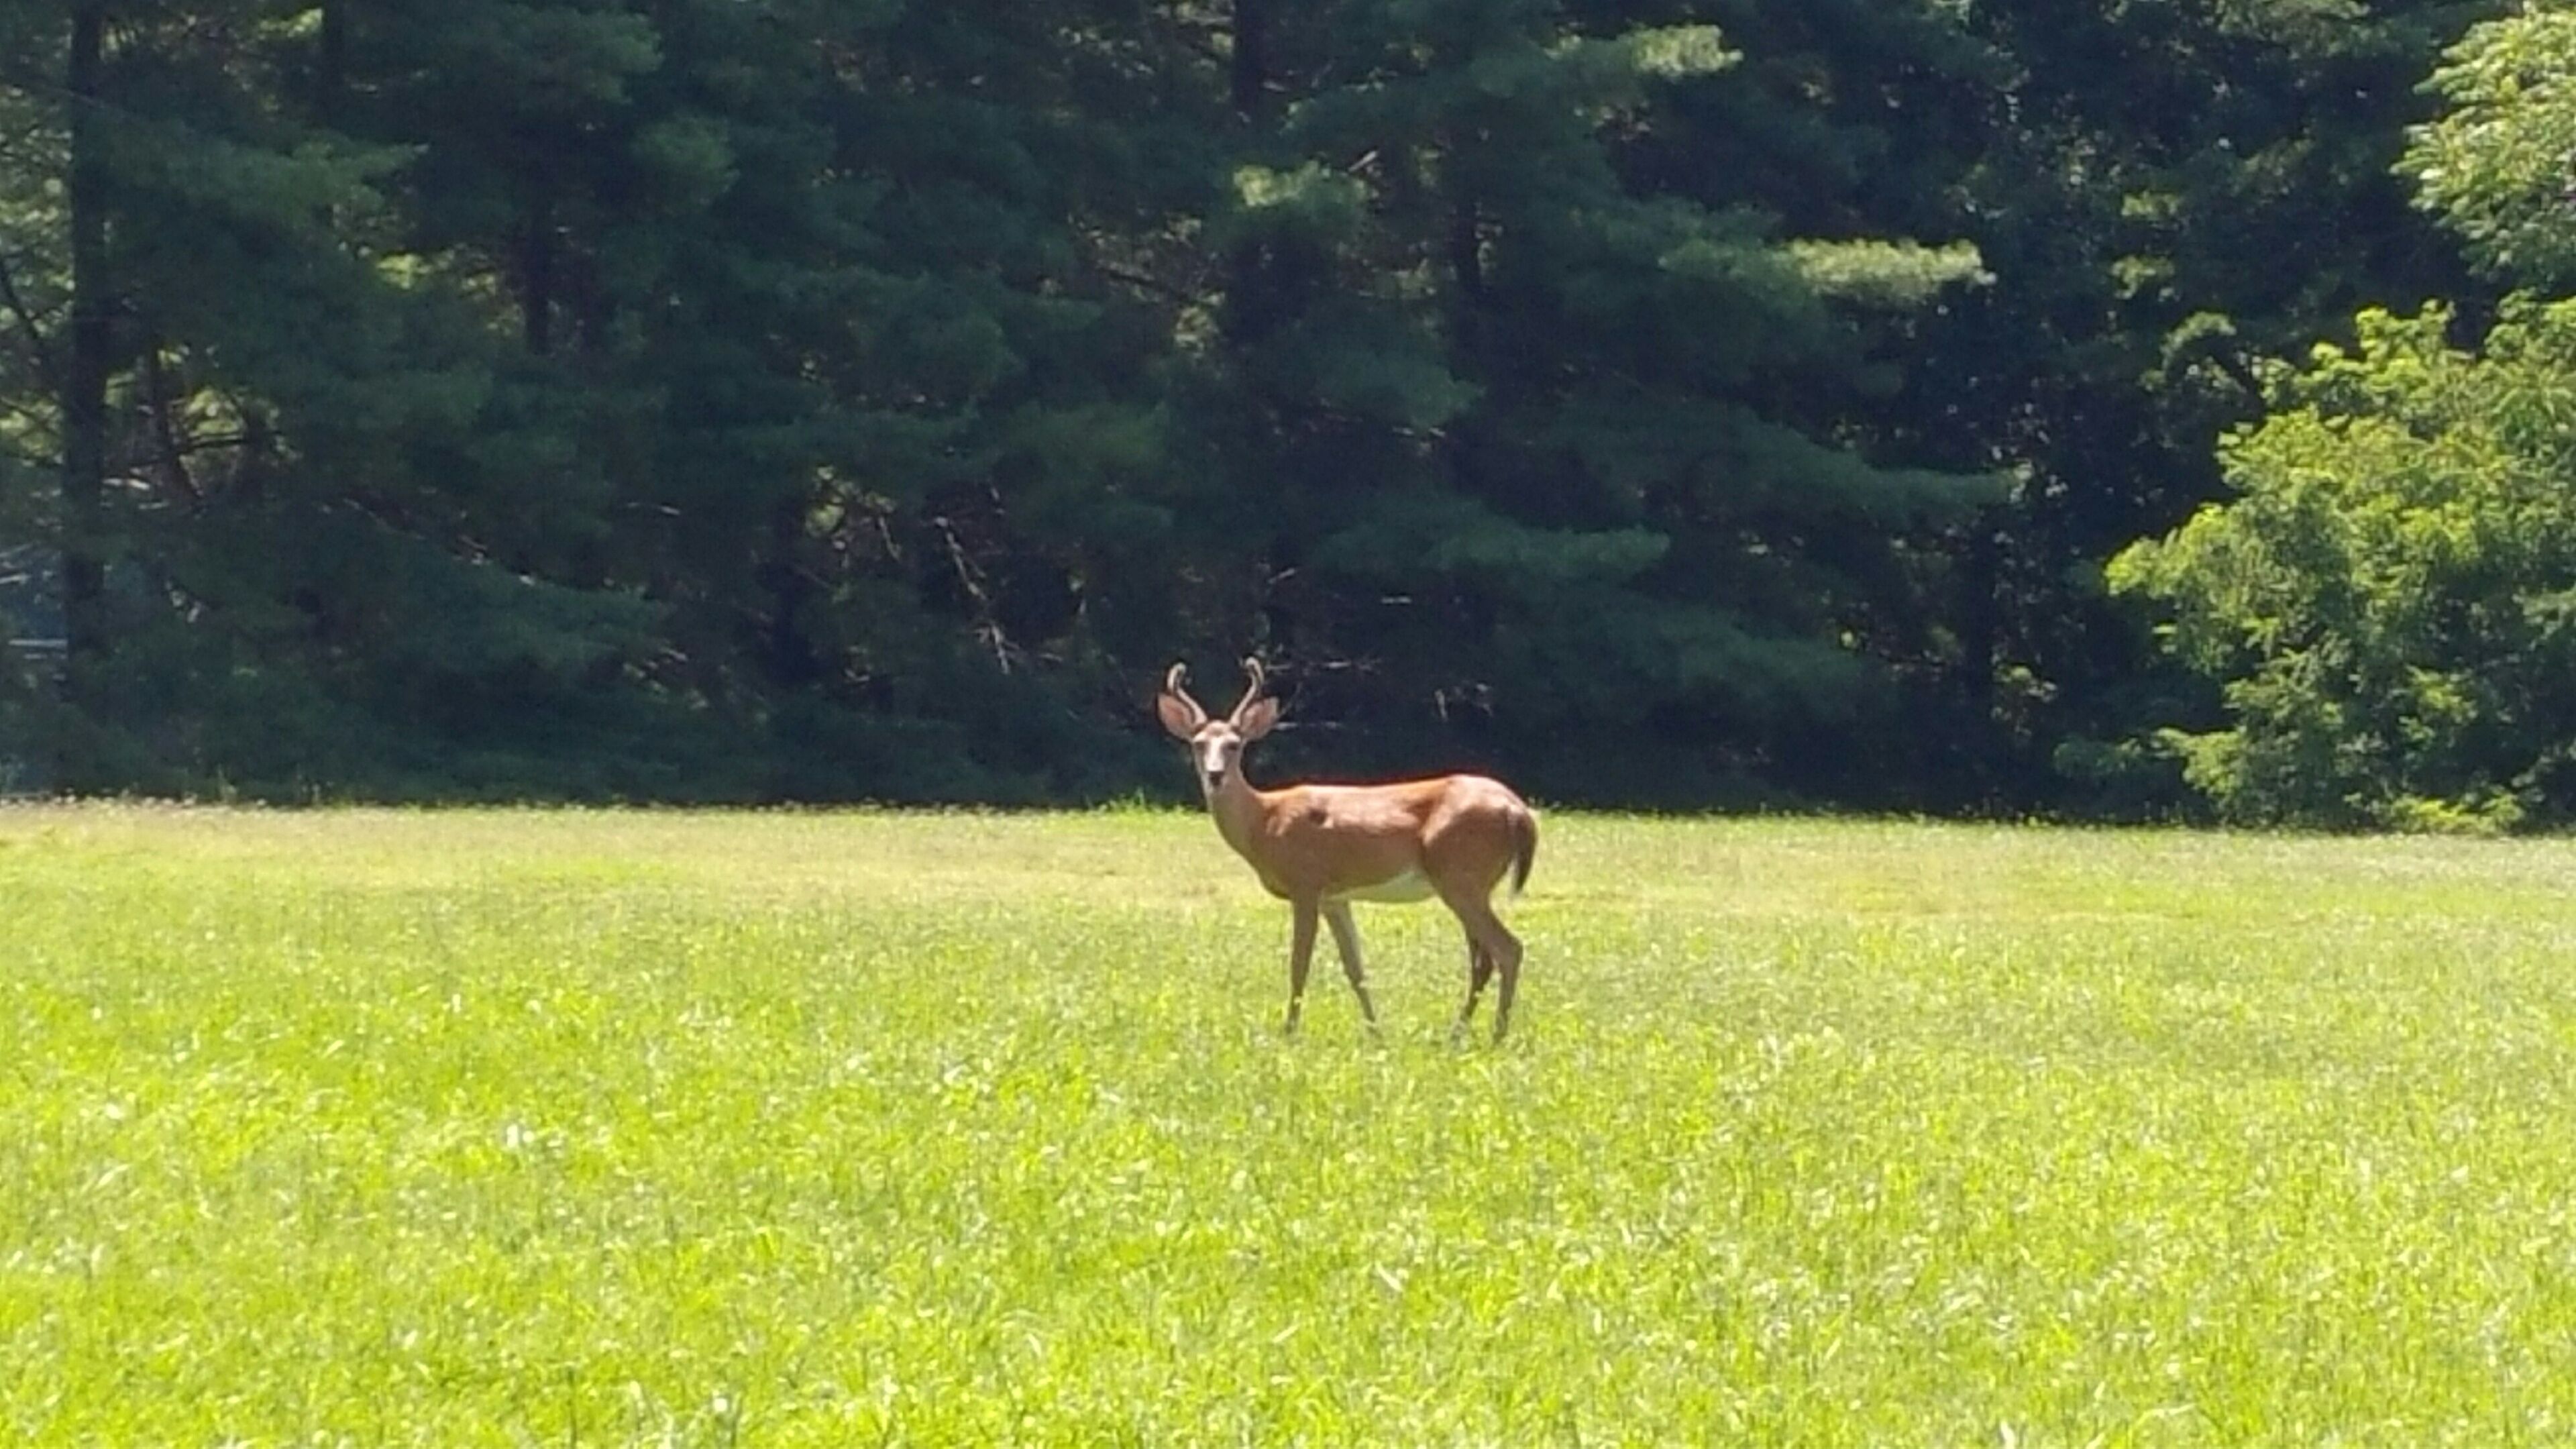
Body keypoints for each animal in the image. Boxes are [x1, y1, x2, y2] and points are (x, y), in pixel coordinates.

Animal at [1157, 657, 1539, 1042]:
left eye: (1234, 745)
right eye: (1198, 744)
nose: (1215, 775)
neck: (1263, 821)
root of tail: (1517, 811)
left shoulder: (1306, 884)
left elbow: (1299, 963)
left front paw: (1289, 1033)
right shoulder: (1335, 898)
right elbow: (1355, 968)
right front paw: (1375, 1033)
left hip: (1462, 876)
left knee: (1508, 949)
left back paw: (1496, 1036)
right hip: (1470, 882)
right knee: (1483, 958)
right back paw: (1457, 1034)